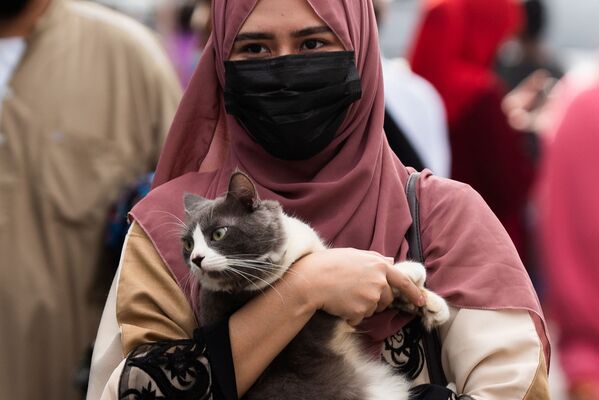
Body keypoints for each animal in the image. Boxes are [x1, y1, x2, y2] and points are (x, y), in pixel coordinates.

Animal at [182, 171, 450, 400]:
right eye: (188, 243)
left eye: (218, 234)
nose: (195, 258)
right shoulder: (323, 313)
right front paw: (409, 270)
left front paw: (430, 304)